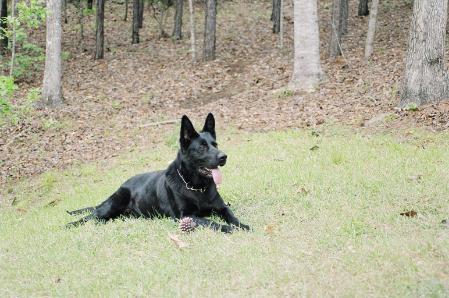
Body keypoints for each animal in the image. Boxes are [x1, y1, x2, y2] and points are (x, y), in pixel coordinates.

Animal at [66, 112, 248, 233]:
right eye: (202, 147)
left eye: (215, 144)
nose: (224, 157)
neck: (195, 187)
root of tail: (123, 184)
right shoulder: (185, 216)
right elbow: (211, 222)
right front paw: (228, 229)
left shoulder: (221, 207)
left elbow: (232, 216)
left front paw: (242, 225)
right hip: (111, 206)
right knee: (90, 217)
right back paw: (70, 225)